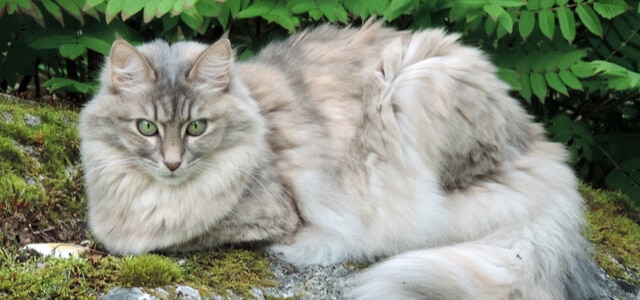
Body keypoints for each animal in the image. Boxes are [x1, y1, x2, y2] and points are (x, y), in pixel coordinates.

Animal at [80, 19, 600, 298]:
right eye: (147, 128)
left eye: (196, 128)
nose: (171, 164)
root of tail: (541, 144)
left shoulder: (267, 214)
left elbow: (174, 237)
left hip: (414, 87)